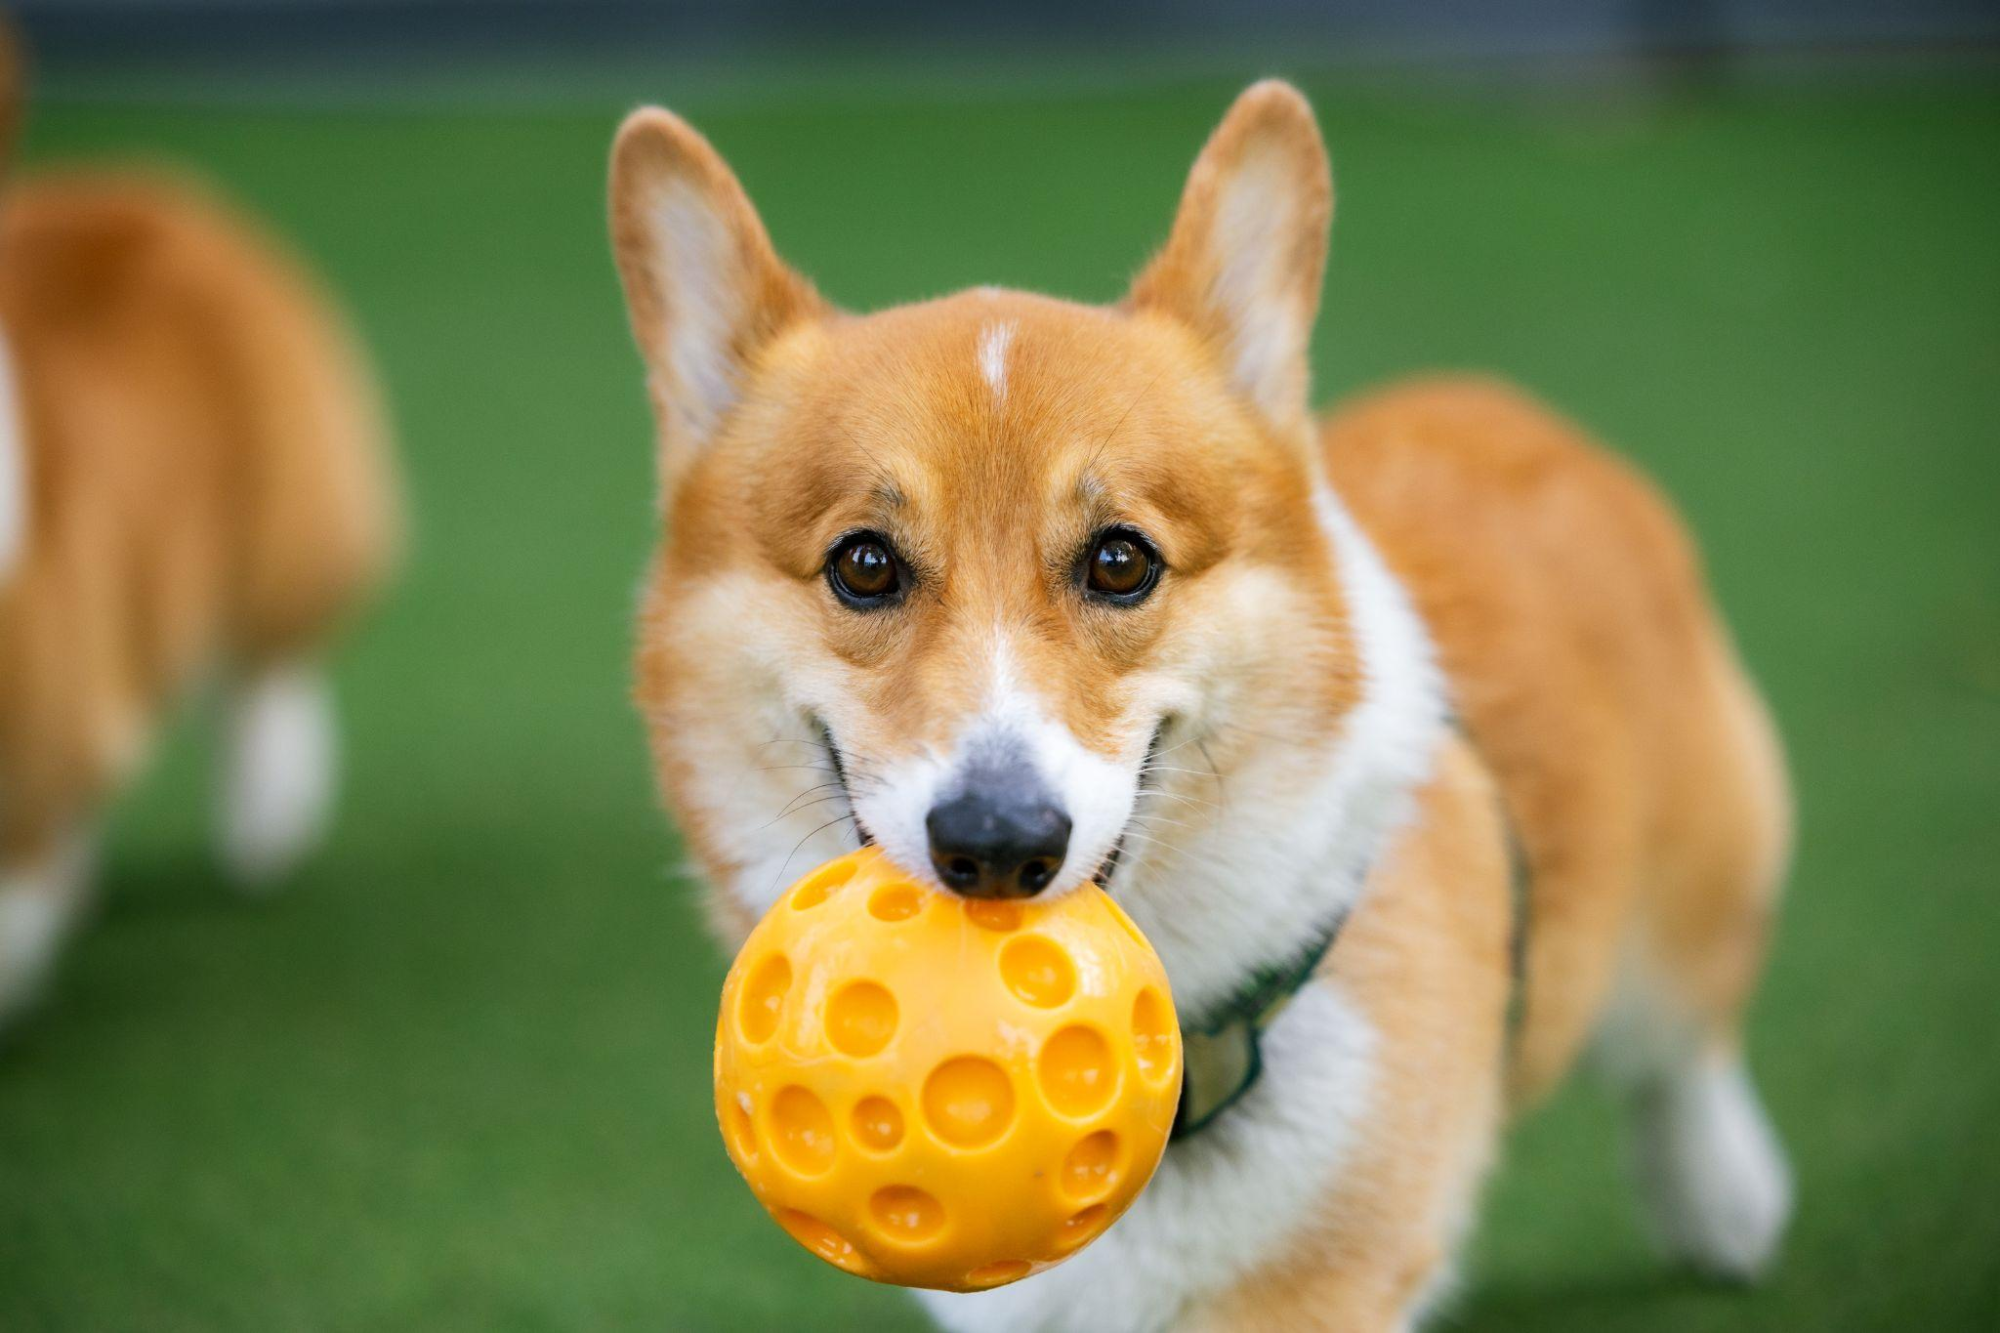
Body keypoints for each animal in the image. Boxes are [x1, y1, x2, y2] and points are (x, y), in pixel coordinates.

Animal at [604, 78, 1784, 1320]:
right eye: (864, 565)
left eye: (1121, 560)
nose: (996, 846)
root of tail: (1514, 410)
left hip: (1687, 890)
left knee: (1684, 1034)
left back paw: (1722, 1195)